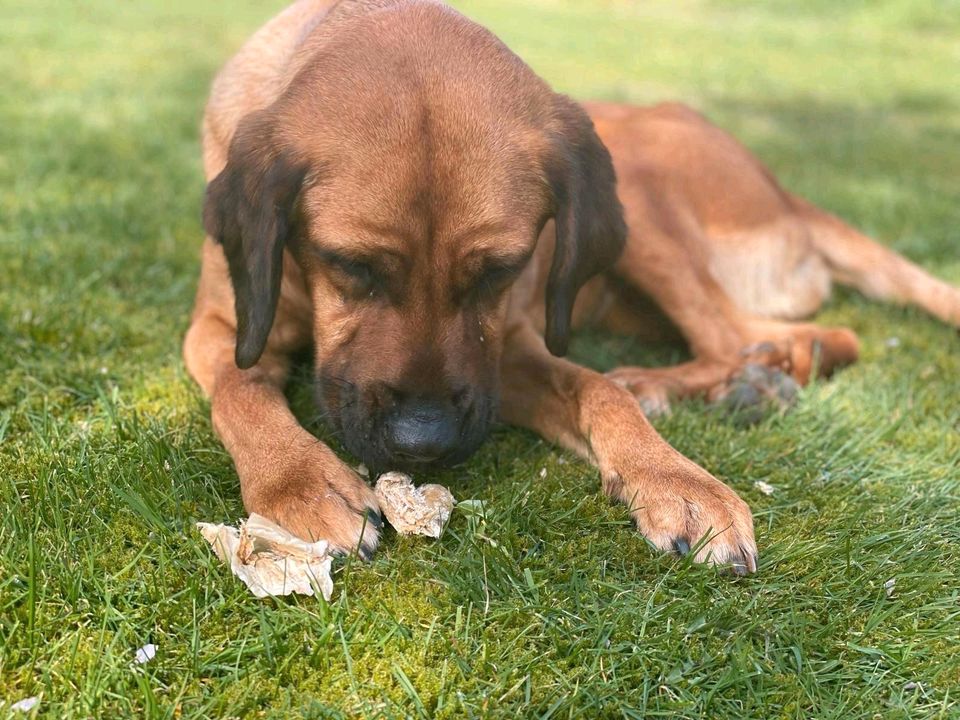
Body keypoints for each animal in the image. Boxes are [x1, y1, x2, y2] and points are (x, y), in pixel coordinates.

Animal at [182, 0, 960, 572]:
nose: (422, 443)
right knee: (794, 336)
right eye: (350, 264)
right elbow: (240, 386)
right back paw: (751, 380)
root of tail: (787, 192)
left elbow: (599, 389)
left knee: (763, 336)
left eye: (501, 269)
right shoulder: (221, 327)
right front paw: (300, 480)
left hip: (638, 181)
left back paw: (703, 383)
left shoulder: (509, 348)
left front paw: (676, 478)